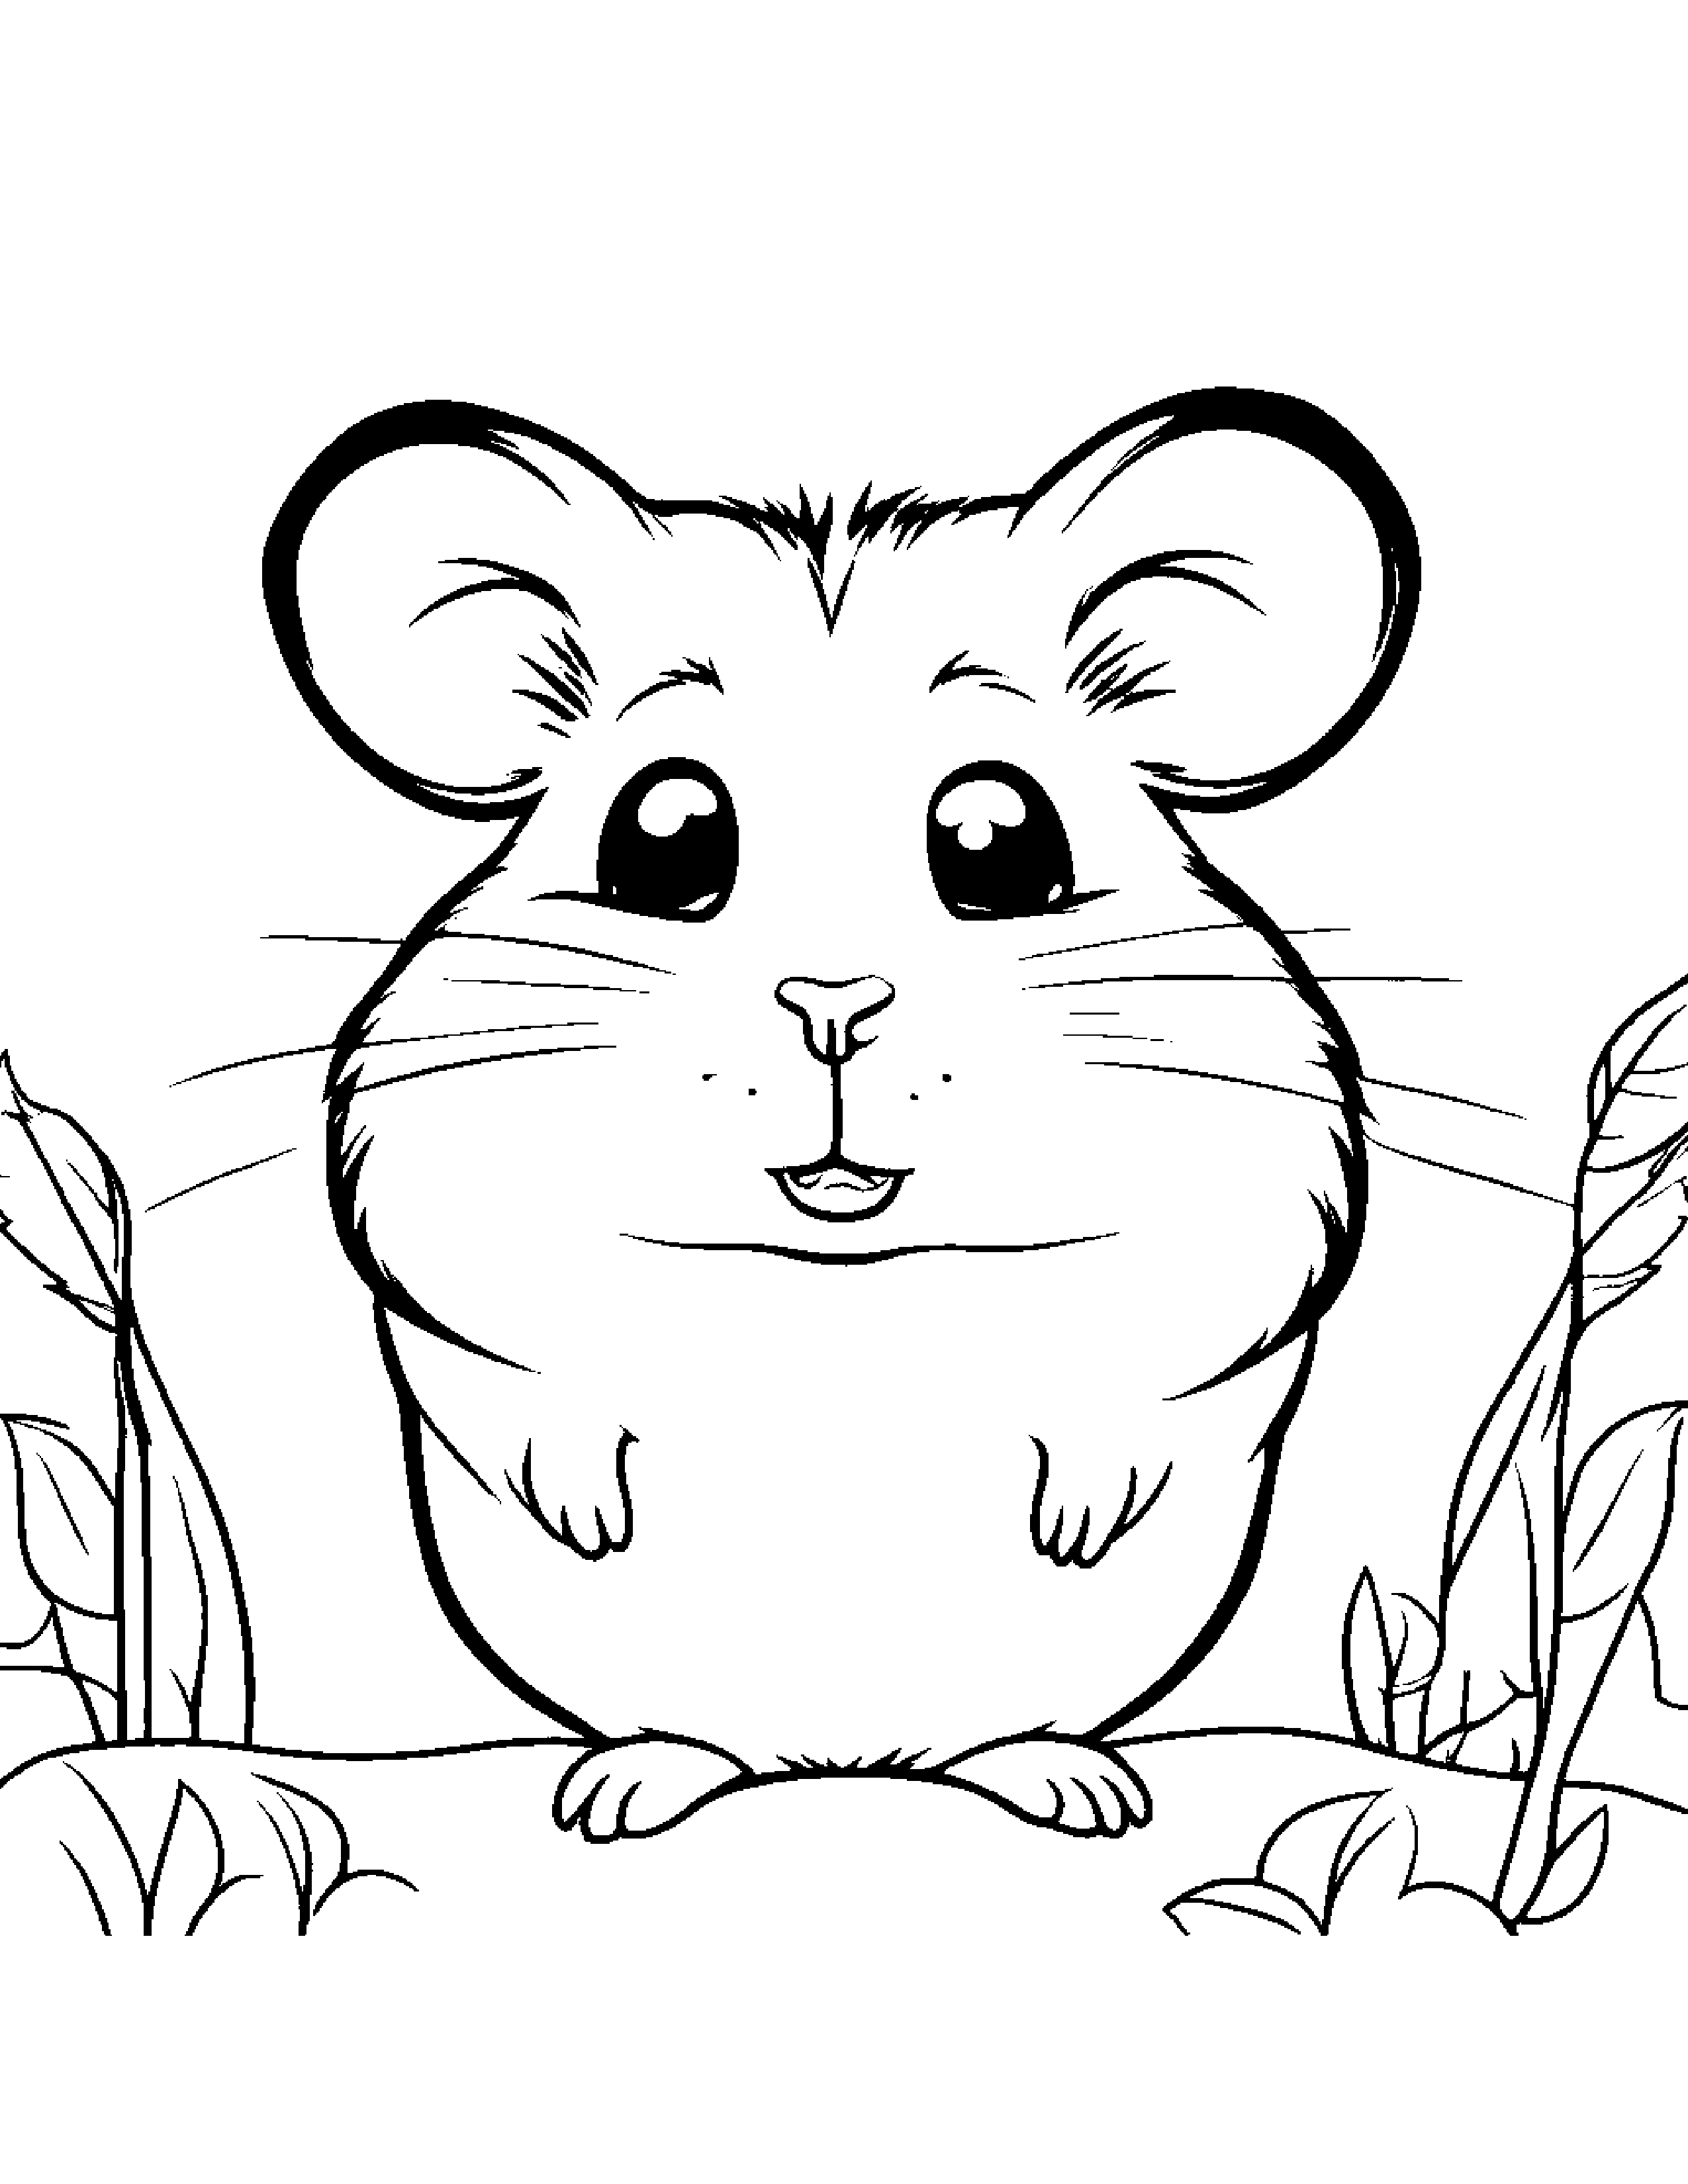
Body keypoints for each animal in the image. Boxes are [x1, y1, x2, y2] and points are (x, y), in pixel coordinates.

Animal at [263, 389, 1417, 1838]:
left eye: (999, 839)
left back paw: (1082, 1792)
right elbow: (506, 1362)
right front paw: (583, 1514)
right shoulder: (430, 1190)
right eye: (666, 834)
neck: (840, 1272)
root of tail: (846, 1763)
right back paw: (621, 1793)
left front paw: (1081, 1521)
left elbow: (1169, 1367)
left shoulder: (1262, 1192)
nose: (831, 1006)